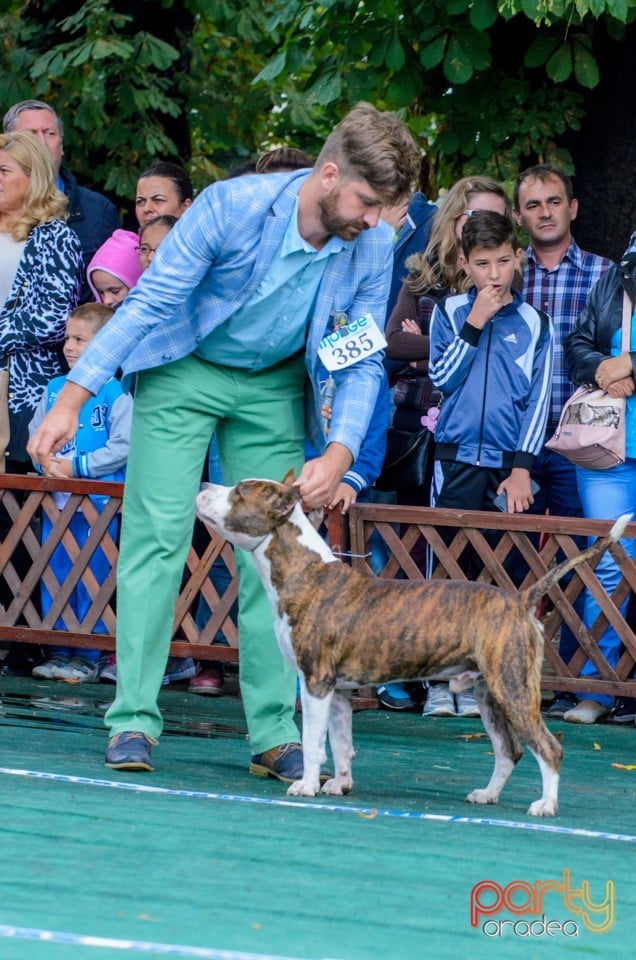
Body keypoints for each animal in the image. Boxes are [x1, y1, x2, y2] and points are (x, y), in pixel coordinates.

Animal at [195, 474, 632, 816]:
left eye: (239, 492)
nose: (202, 485)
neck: (306, 570)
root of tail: (520, 599)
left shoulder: (316, 682)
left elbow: (314, 740)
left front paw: (305, 786)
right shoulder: (338, 690)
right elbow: (341, 741)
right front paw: (338, 785)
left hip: (513, 688)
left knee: (547, 748)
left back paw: (545, 805)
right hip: (488, 694)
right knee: (509, 750)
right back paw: (486, 795)